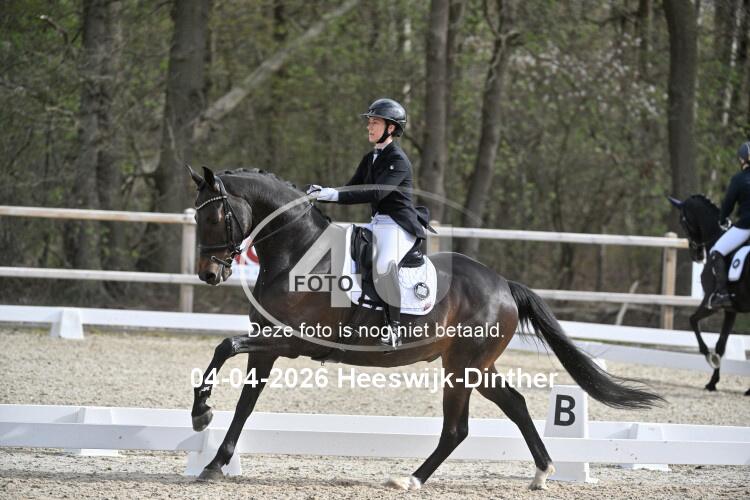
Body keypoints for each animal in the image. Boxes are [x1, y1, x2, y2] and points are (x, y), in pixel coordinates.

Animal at [187, 165, 663, 490]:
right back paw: (542, 473)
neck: (299, 252)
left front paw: (200, 414)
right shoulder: (267, 348)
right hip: (476, 366)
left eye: (213, 218)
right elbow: (245, 402)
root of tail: (503, 285)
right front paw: (214, 461)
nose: (209, 274)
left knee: (458, 428)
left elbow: (224, 346)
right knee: (515, 403)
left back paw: (411, 479)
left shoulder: (288, 341)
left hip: (462, 367)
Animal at [669, 194, 750, 394]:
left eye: (682, 221)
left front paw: (709, 357)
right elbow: (721, 344)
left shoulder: (710, 303)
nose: (697, 255)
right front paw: (713, 382)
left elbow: (692, 320)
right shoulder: (731, 310)